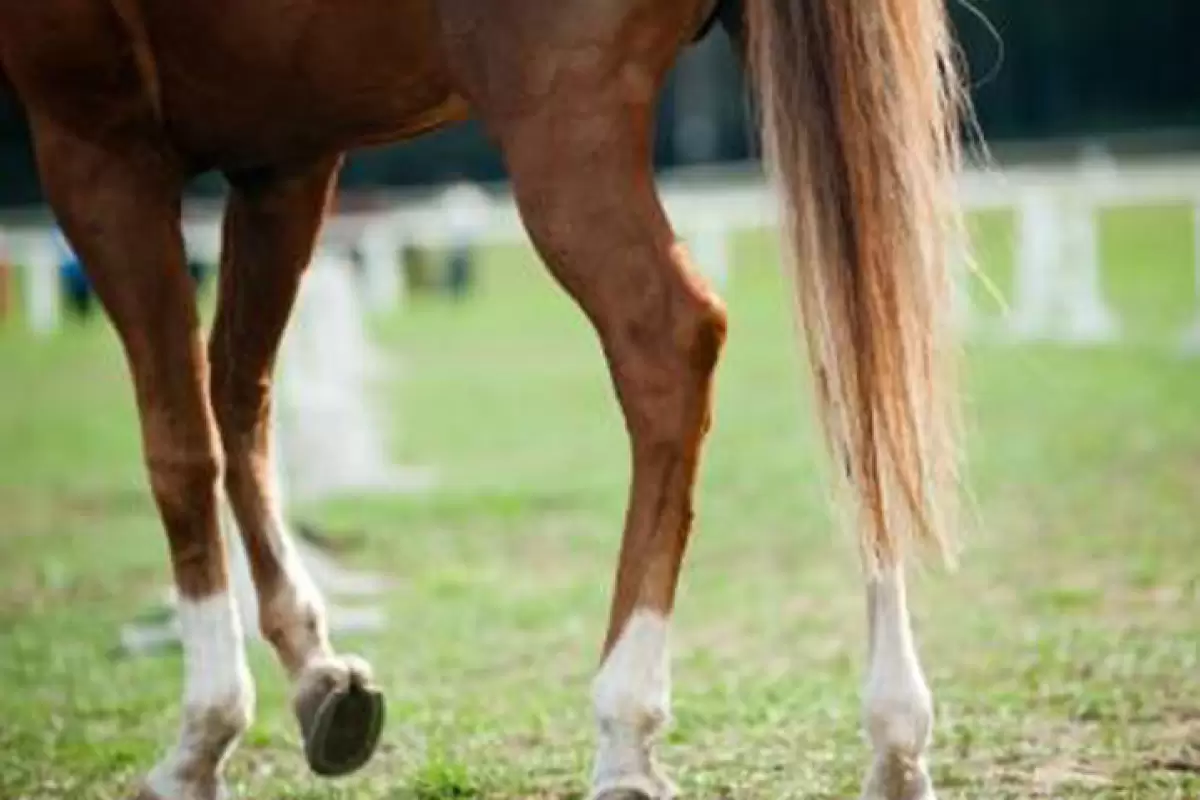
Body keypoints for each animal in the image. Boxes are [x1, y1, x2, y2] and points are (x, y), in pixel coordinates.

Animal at [0, 0, 964, 796]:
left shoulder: (98, 143)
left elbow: (180, 443)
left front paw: (203, 734)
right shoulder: (282, 155)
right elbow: (241, 403)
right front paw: (317, 676)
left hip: (562, 122)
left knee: (668, 342)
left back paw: (625, 728)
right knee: (854, 343)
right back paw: (895, 735)